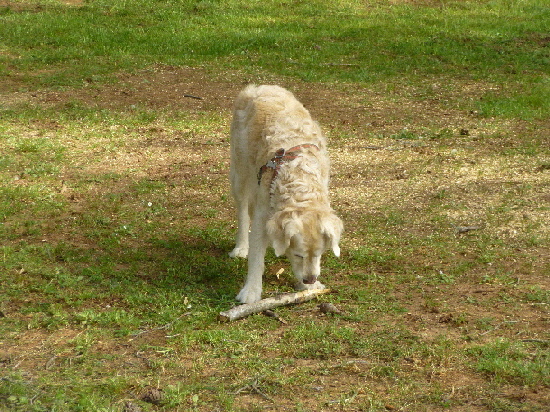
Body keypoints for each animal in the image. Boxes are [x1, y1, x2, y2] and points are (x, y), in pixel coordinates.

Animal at [230, 84, 344, 302]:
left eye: (320, 254)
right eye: (299, 255)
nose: (309, 279)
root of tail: (261, 86)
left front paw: (310, 286)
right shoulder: (262, 217)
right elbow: (256, 257)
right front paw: (251, 291)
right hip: (239, 172)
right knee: (242, 210)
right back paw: (241, 247)